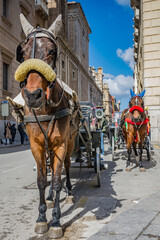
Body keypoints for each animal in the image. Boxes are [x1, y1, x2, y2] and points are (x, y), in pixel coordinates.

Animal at [14, 14, 79, 238]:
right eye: (23, 53)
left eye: (52, 51)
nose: (33, 95)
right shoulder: (36, 144)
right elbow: (42, 180)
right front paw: (42, 217)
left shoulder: (61, 144)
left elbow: (58, 179)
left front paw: (56, 222)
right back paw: (51, 198)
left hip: (70, 143)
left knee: (66, 166)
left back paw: (69, 192)